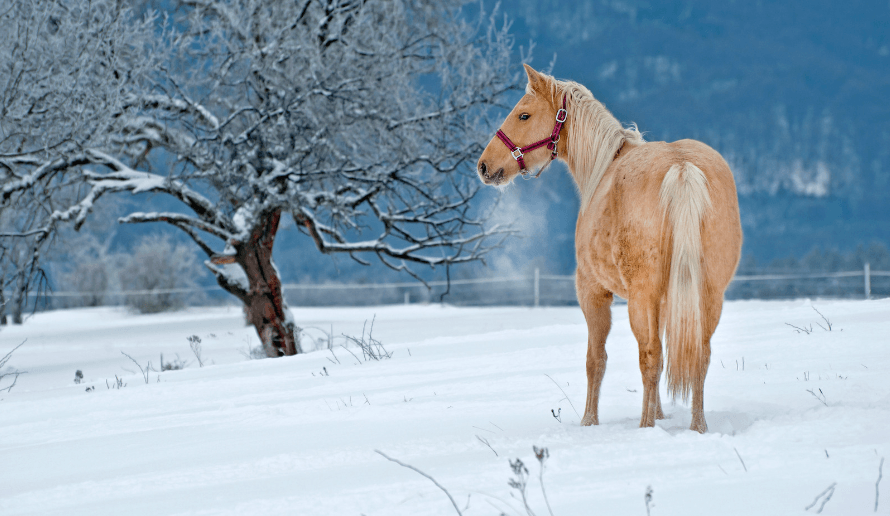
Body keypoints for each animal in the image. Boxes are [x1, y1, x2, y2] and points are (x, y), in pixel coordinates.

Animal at [477, 64, 742, 433]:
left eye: (523, 115)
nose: (484, 166)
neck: (604, 169)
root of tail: (682, 167)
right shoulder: (665, 300)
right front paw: (661, 414)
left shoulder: (592, 291)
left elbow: (595, 359)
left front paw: (589, 421)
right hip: (709, 295)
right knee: (698, 355)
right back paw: (696, 427)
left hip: (640, 298)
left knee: (649, 356)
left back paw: (646, 428)